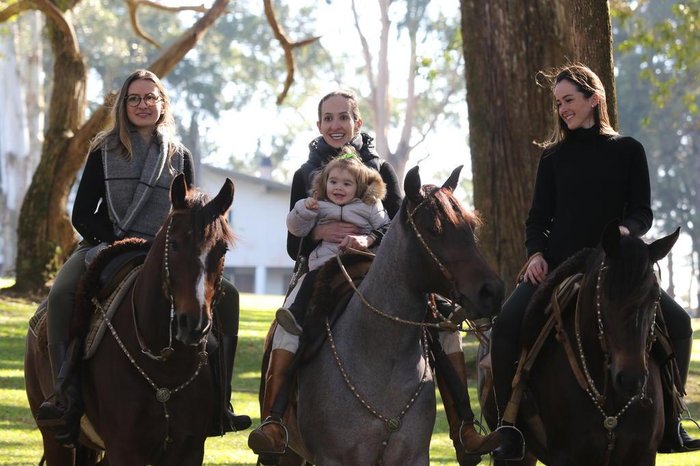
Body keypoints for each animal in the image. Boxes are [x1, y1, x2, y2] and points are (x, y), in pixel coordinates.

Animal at [24, 175, 235, 466]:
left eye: (222, 249)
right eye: (174, 244)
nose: (193, 324)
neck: (165, 369)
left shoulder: (189, 450)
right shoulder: (124, 449)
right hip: (55, 438)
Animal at [292, 166, 506, 464]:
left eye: (471, 226)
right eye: (433, 229)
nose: (492, 292)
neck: (381, 356)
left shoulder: (413, 456)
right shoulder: (332, 458)